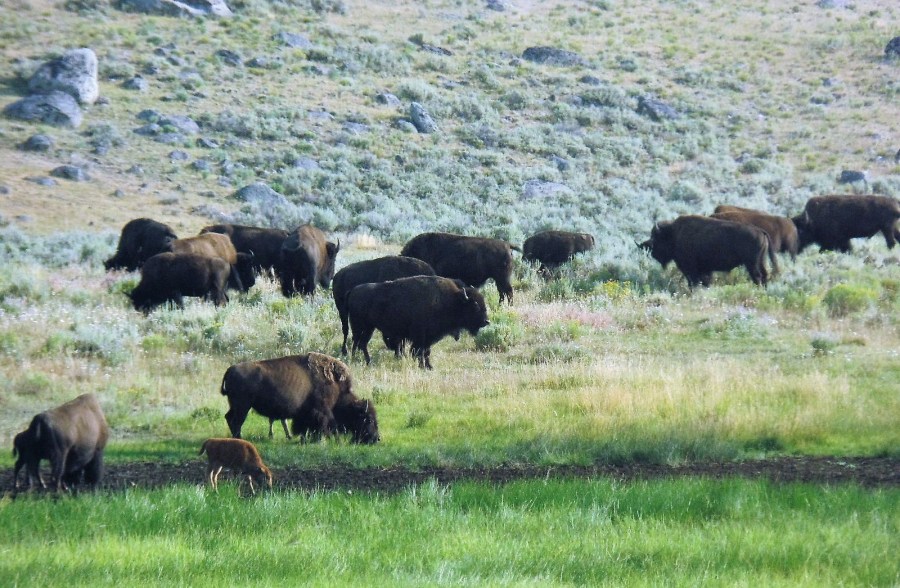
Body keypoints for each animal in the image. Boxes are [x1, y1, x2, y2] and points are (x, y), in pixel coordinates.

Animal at [220, 352, 379, 444]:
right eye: (369, 419)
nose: (377, 438)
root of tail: (230, 369)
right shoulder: (321, 411)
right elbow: (321, 425)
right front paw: (318, 440)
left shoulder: (305, 414)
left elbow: (304, 428)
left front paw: (304, 439)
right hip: (243, 406)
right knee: (236, 421)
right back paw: (239, 439)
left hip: (236, 405)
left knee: (229, 417)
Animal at [348, 275, 490, 370]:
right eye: (475, 306)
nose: (486, 321)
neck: (452, 300)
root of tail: (353, 291)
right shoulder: (420, 336)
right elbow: (419, 351)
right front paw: (423, 366)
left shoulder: (428, 338)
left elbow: (426, 352)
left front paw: (429, 366)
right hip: (360, 327)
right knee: (357, 343)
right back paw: (358, 360)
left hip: (369, 328)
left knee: (362, 343)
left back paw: (366, 361)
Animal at [640, 215, 771, 288]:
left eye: (656, 238)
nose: (652, 253)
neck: (674, 234)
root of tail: (761, 231)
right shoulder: (705, 269)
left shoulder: (691, 269)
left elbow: (695, 281)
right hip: (761, 261)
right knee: (764, 275)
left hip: (751, 264)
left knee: (757, 276)